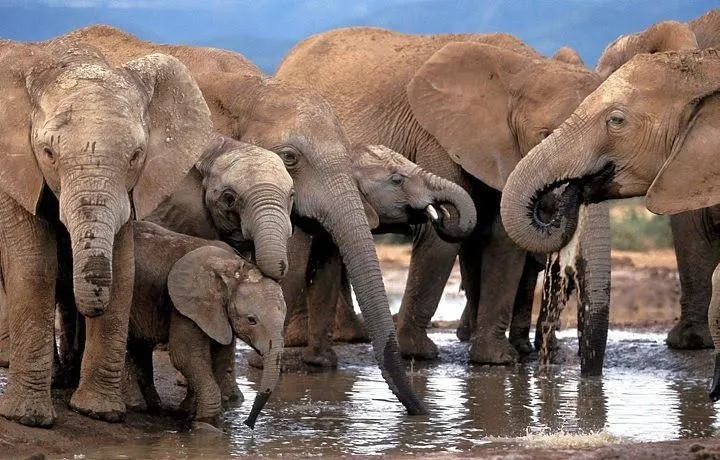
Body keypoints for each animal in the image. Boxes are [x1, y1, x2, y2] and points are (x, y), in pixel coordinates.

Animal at [0, 39, 213, 427]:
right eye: (48, 152)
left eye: (136, 155)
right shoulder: (15, 172)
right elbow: (33, 266)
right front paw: (28, 418)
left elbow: (124, 268)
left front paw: (97, 411)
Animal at [125, 221, 285, 429]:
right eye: (252, 320)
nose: (248, 423)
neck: (233, 268)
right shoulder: (185, 305)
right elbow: (185, 356)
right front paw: (208, 422)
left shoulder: (218, 313)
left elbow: (220, 357)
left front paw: (188, 412)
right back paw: (136, 406)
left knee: (139, 347)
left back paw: (153, 406)